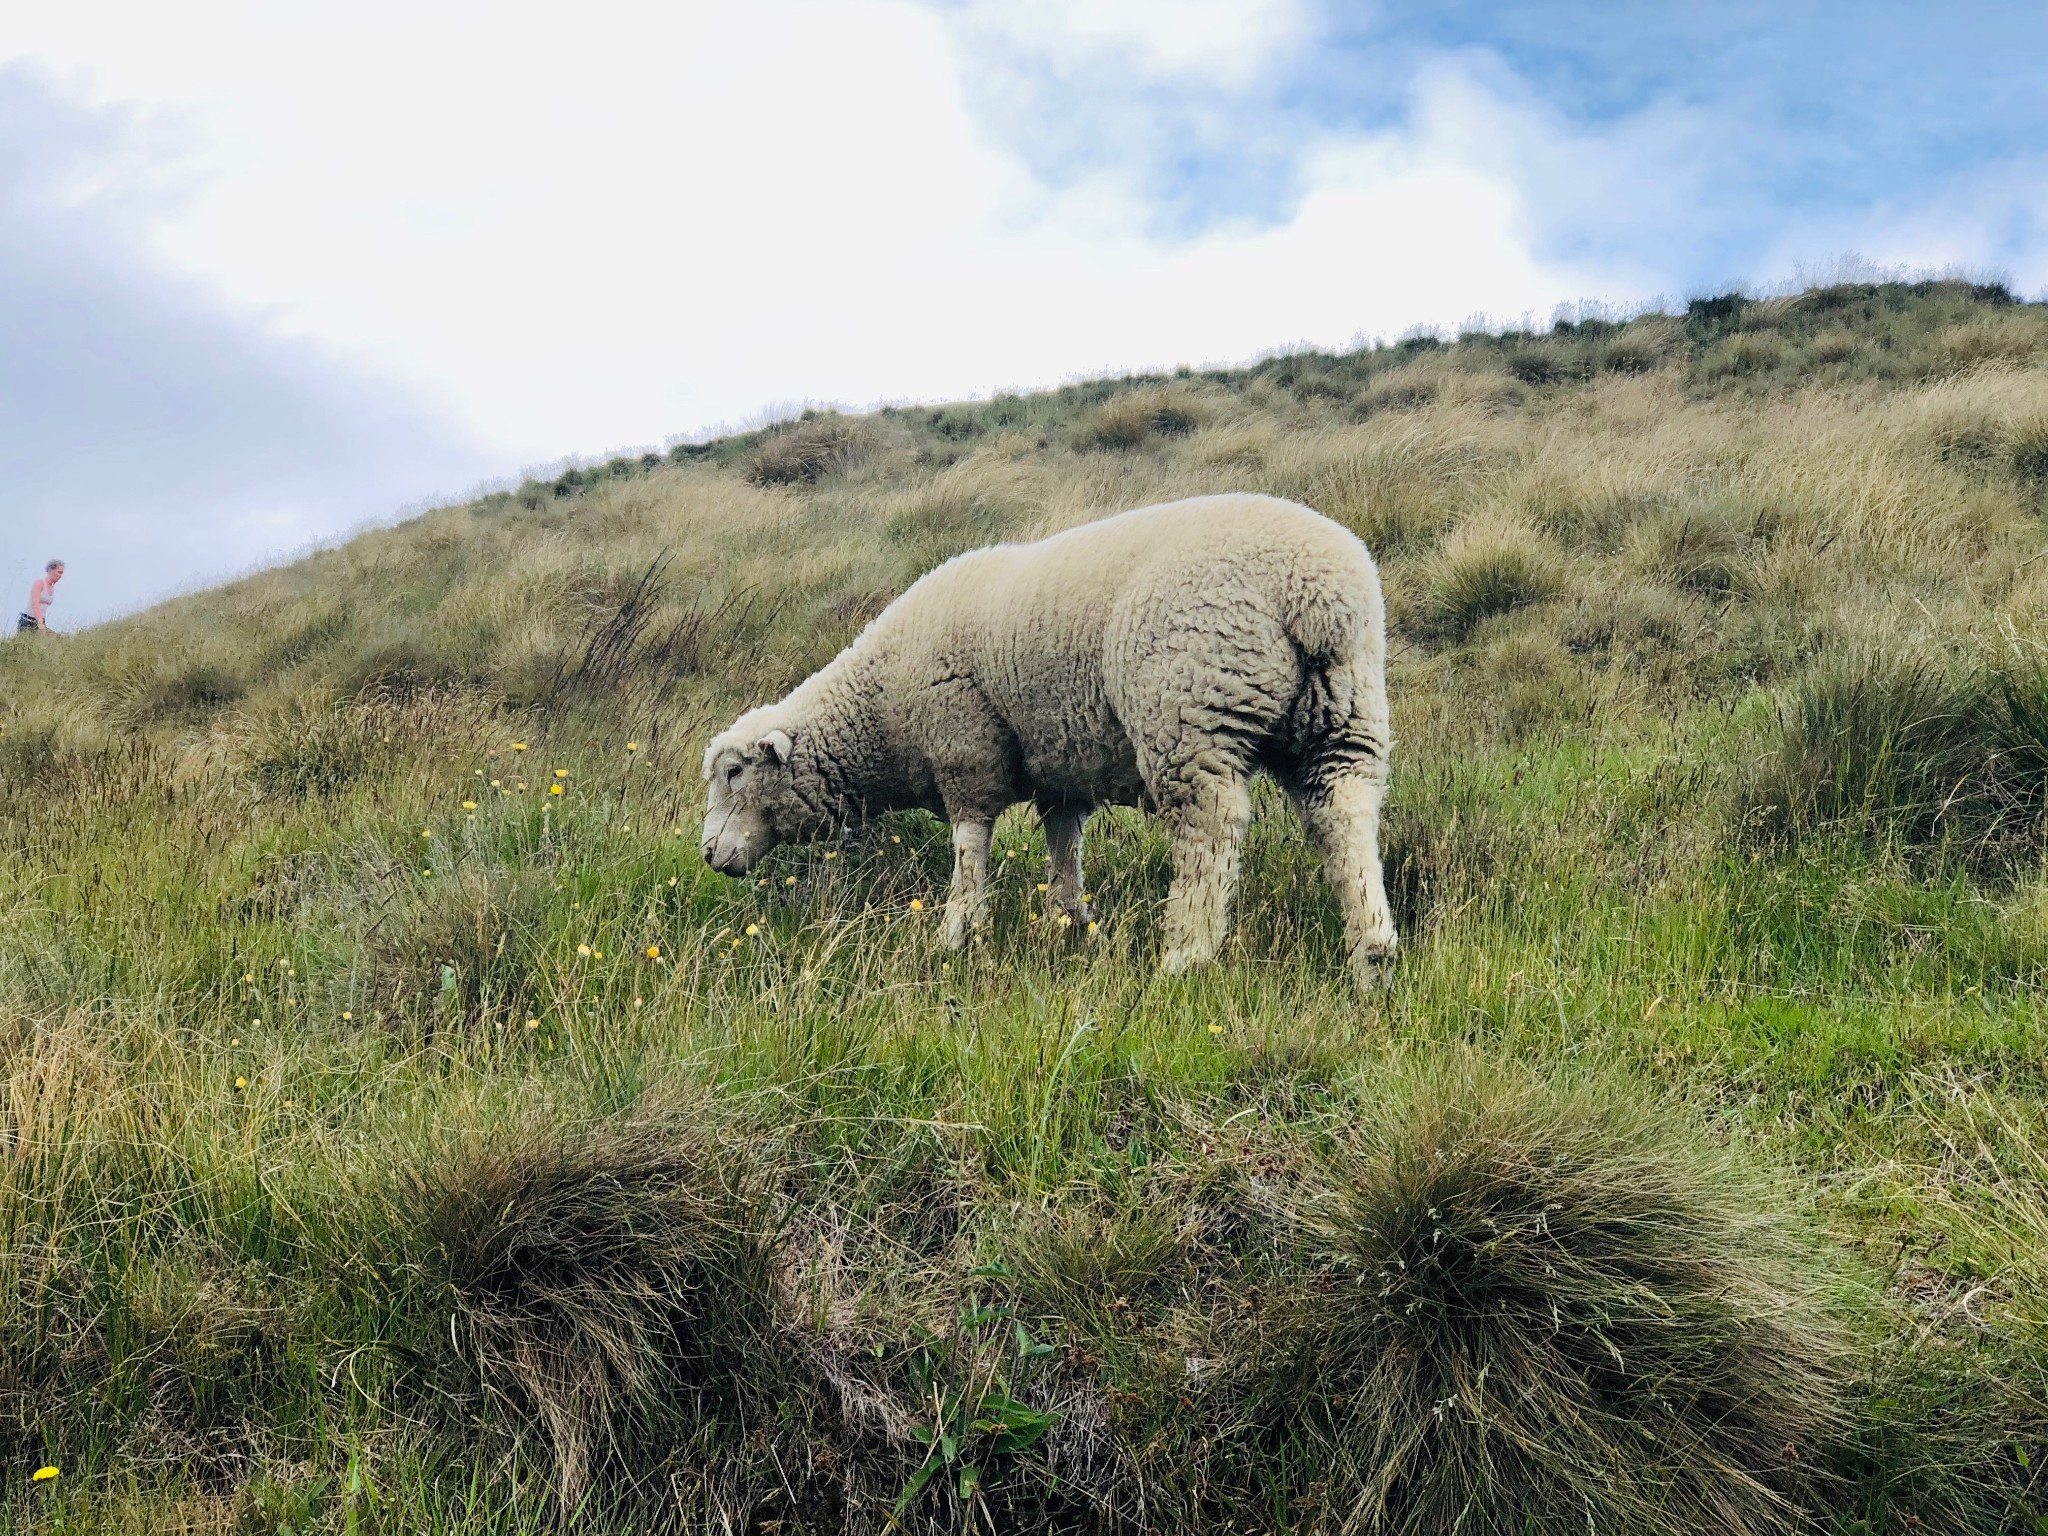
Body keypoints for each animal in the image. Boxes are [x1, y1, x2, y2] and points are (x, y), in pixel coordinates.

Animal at [696, 499, 1400, 991]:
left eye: (733, 772)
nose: (707, 853)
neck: (879, 706)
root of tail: (1316, 593)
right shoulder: (1062, 770)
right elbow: (1064, 849)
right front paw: (1071, 925)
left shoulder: (964, 753)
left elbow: (969, 849)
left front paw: (956, 932)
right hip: (1342, 714)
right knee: (1343, 814)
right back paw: (1372, 954)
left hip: (1187, 710)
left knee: (1210, 831)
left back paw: (1186, 955)